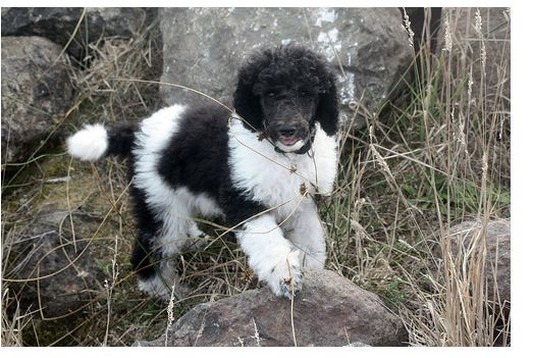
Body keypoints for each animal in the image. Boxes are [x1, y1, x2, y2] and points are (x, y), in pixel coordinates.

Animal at [66, 45, 338, 302]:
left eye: (306, 93)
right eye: (269, 94)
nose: (287, 129)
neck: (284, 155)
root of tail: (138, 130)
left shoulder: (302, 202)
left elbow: (311, 239)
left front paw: (313, 270)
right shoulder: (246, 204)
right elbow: (269, 244)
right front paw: (284, 277)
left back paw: (192, 241)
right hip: (160, 204)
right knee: (149, 252)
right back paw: (166, 292)